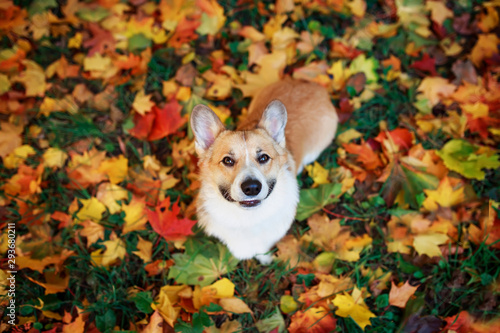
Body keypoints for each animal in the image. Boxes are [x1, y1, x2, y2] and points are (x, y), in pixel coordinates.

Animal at [189, 78, 338, 262]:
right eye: (227, 160)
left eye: (263, 158)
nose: (252, 187)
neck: (248, 218)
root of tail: (313, 85)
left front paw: (266, 259)